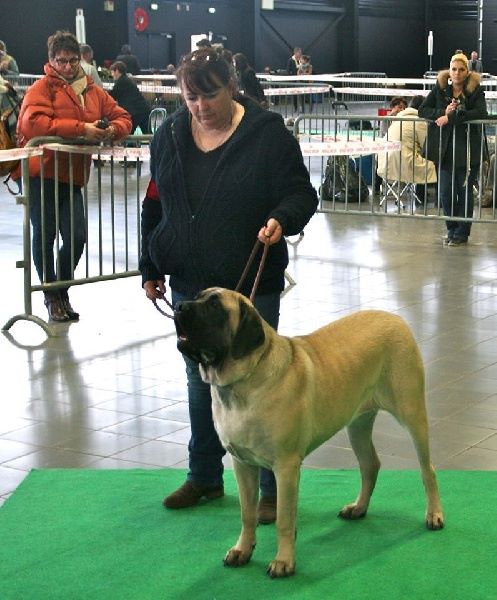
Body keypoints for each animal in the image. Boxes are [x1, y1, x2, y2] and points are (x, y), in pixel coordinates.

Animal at [172, 288, 444, 580]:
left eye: (215, 306)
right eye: (198, 296)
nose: (178, 307)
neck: (242, 382)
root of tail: (395, 318)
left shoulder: (285, 467)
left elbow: (283, 518)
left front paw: (283, 561)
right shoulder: (242, 463)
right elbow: (247, 513)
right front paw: (242, 550)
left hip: (412, 412)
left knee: (428, 469)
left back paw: (434, 514)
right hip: (357, 423)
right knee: (370, 465)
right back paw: (358, 508)